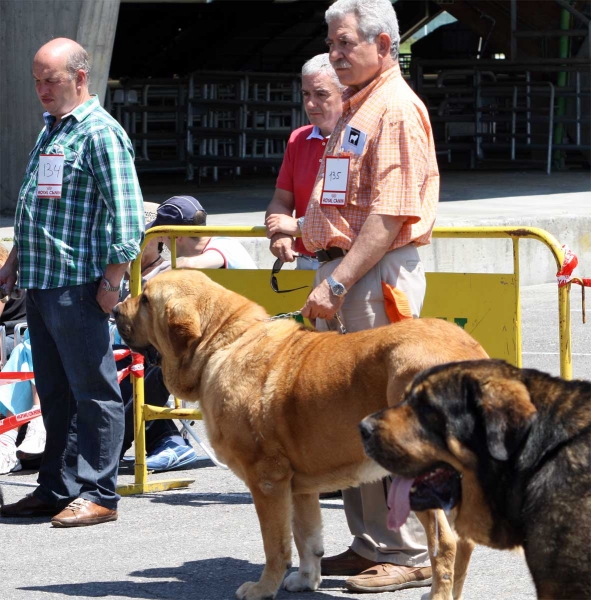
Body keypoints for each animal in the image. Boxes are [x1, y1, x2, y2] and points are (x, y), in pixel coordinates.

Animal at [114, 272, 490, 600]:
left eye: (145, 299)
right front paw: (307, 580)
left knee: (445, 543)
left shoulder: (267, 481)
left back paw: (438, 595)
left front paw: (263, 588)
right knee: (463, 542)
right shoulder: (300, 486)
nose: (115, 309)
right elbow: (306, 537)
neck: (220, 341)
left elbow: (275, 544)